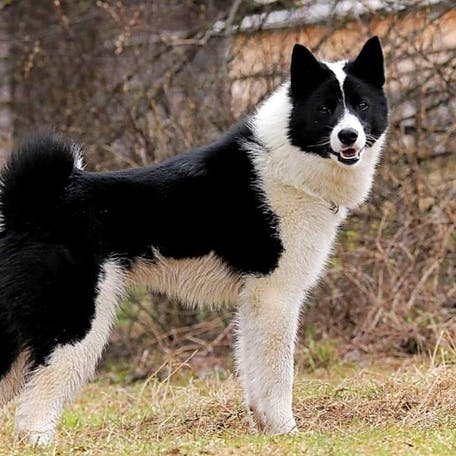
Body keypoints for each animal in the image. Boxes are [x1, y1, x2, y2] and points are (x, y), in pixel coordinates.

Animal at [0, 37, 388, 444]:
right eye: (326, 108)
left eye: (361, 105)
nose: (349, 135)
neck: (288, 164)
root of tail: (33, 204)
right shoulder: (275, 295)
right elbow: (277, 373)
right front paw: (286, 432)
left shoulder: (253, 301)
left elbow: (253, 372)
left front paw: (264, 429)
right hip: (75, 323)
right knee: (35, 404)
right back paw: (40, 441)